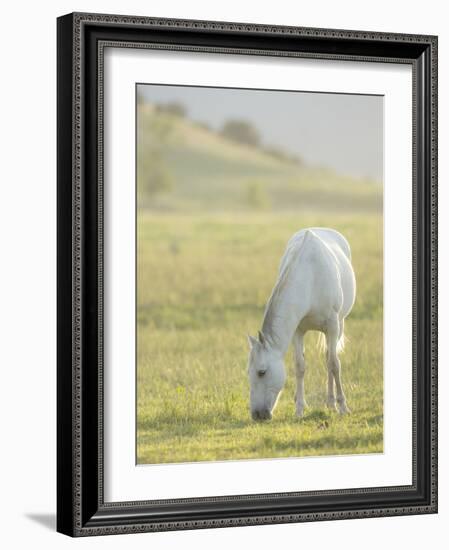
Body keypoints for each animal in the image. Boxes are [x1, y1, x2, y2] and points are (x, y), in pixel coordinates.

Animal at [247, 229, 356, 422]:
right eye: (248, 372)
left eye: (261, 372)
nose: (257, 415)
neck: (310, 277)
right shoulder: (297, 331)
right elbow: (300, 366)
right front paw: (299, 409)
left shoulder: (332, 326)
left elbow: (334, 364)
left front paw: (343, 406)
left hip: (339, 325)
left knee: (329, 359)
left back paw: (332, 403)